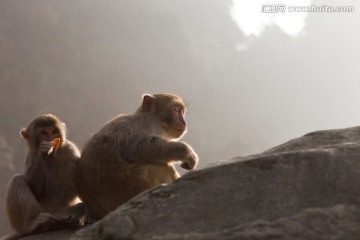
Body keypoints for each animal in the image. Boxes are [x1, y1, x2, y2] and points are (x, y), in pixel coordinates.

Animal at [77, 93, 200, 221]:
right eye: (176, 110)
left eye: (182, 112)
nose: (184, 123)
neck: (151, 118)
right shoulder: (141, 128)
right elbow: (145, 148)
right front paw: (187, 152)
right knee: (164, 166)